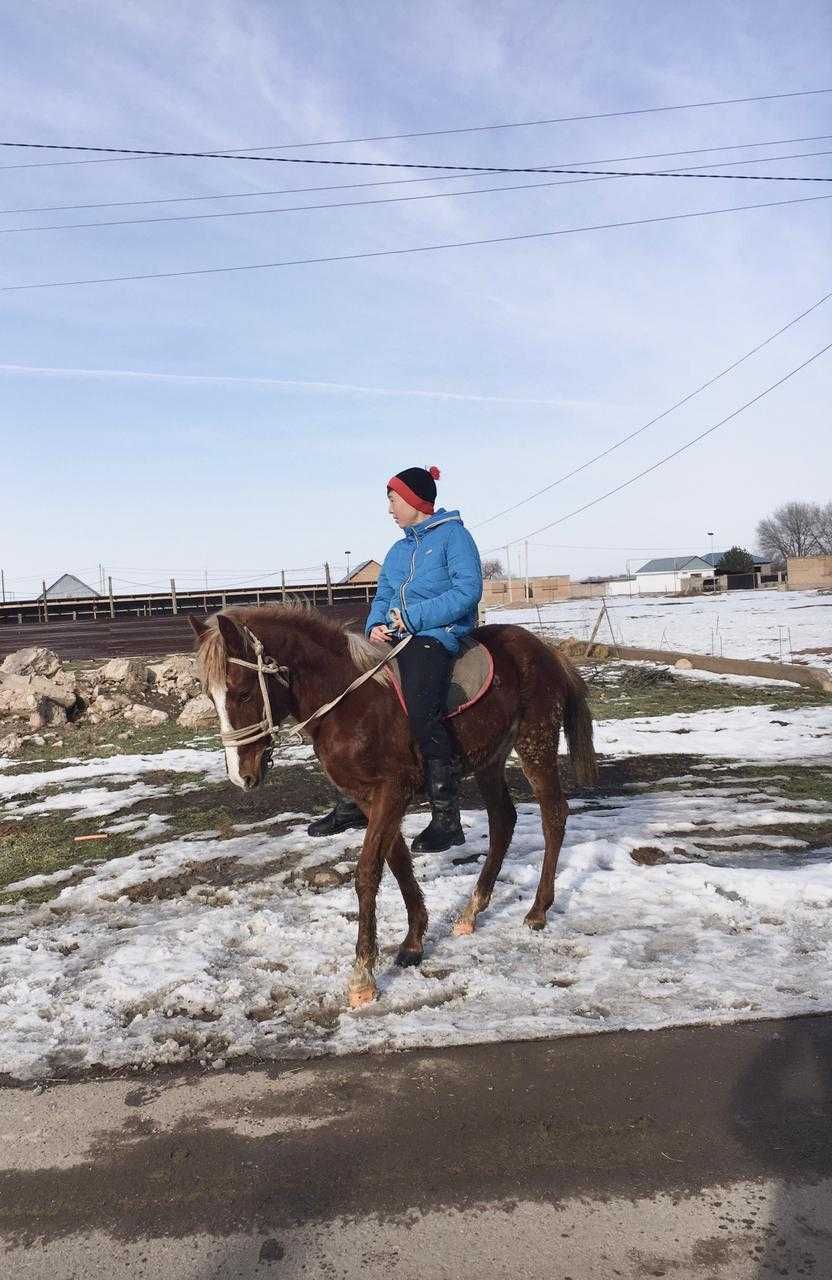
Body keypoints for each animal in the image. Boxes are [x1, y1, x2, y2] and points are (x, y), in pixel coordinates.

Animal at [190, 609, 596, 1008]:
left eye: (243, 693)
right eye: (211, 697)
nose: (242, 776)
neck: (348, 702)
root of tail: (546, 651)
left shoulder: (391, 791)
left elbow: (368, 872)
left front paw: (363, 978)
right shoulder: (370, 797)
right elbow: (398, 863)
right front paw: (414, 941)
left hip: (535, 745)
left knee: (553, 817)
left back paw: (537, 911)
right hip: (490, 759)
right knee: (503, 822)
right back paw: (472, 911)